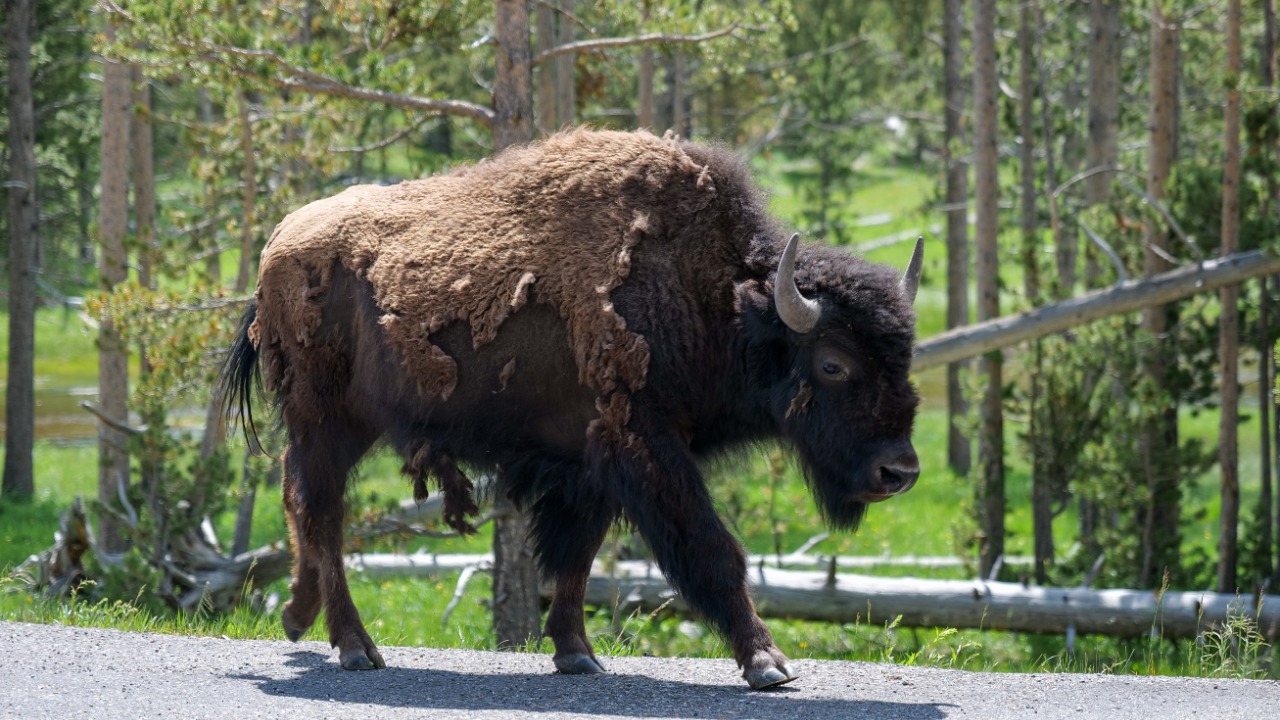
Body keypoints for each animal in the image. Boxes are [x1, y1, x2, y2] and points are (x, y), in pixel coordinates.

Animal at [223, 128, 921, 689]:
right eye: (832, 363)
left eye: (905, 355)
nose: (901, 472)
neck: (715, 298)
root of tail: (278, 245)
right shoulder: (644, 446)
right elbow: (713, 549)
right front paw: (767, 664)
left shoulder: (591, 463)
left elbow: (576, 556)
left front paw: (577, 654)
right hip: (327, 420)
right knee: (323, 512)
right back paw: (355, 647)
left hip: (337, 428)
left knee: (296, 496)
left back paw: (297, 615)